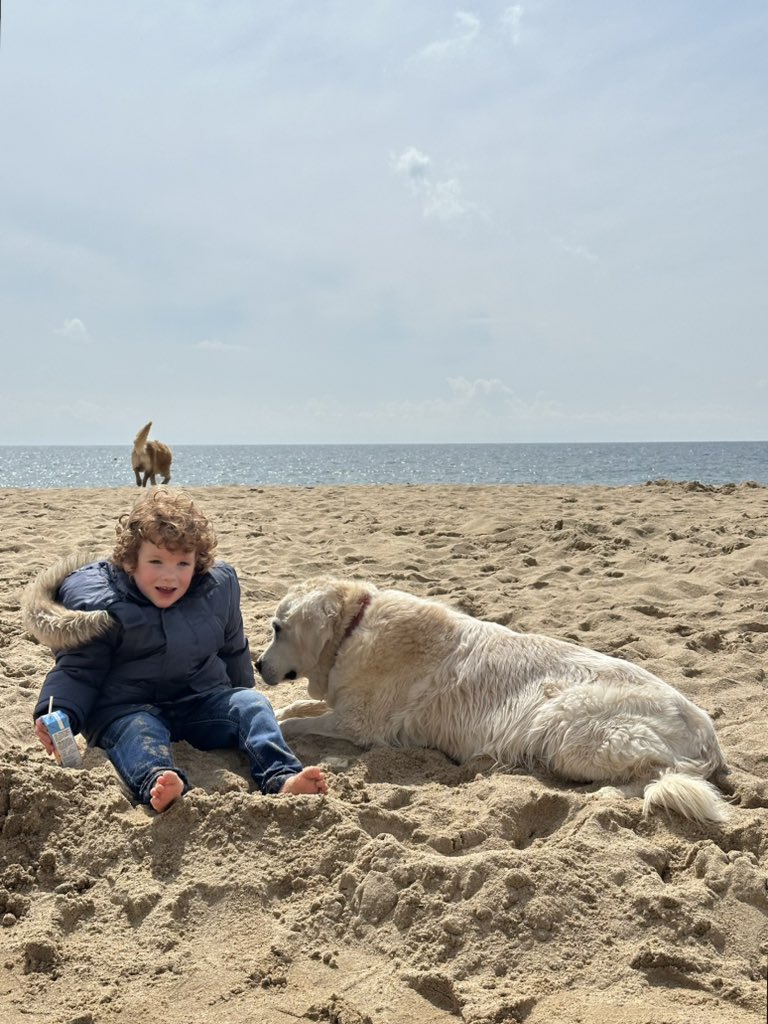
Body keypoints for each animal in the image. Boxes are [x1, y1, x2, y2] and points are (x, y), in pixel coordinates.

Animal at [256, 577, 729, 823]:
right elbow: (295, 708)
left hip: (570, 725)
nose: (258, 665)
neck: (352, 628)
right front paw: (281, 707)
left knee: (657, 775)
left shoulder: (359, 725)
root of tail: (708, 734)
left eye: (278, 628)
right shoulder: (343, 704)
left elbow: (295, 721)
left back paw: (608, 794)